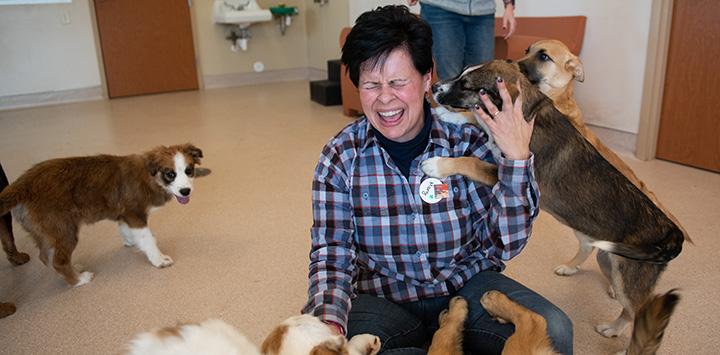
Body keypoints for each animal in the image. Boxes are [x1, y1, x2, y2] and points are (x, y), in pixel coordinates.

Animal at [0, 143, 208, 288]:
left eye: (189, 171)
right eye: (170, 174)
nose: (185, 191)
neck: (151, 176)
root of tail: (22, 185)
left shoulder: (124, 215)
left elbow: (126, 230)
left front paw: (131, 242)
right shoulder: (135, 214)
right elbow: (148, 238)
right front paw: (158, 259)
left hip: (46, 232)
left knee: (46, 256)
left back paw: (74, 268)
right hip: (64, 230)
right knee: (58, 261)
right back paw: (79, 279)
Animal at [424, 60, 684, 354]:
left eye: (467, 86)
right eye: (460, 74)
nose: (435, 87)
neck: (524, 117)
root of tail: (671, 233)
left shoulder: (503, 171)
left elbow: (472, 162)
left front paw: (437, 165)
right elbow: (477, 119)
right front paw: (450, 116)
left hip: (627, 275)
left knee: (640, 313)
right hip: (607, 258)